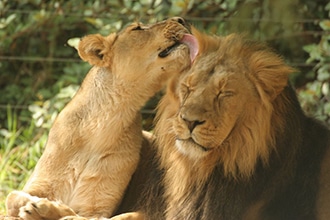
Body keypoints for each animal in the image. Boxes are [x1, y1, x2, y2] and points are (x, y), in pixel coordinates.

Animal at [4, 17, 199, 220]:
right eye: (137, 28)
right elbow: (11, 196)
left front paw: (44, 208)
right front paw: (34, 204)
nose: (181, 19)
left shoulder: (97, 206)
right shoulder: (39, 184)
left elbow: (86, 216)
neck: (105, 120)